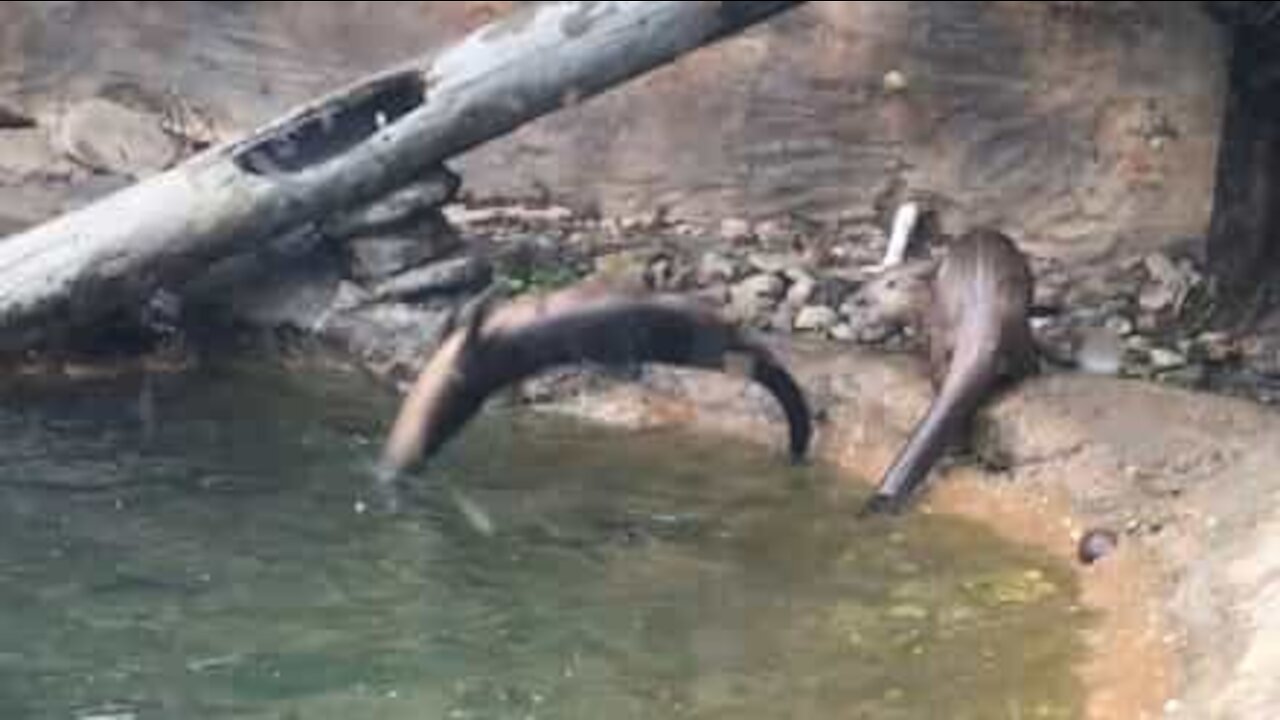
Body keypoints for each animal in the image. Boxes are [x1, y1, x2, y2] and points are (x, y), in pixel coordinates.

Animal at [860, 226, 1039, 512]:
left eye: (865, 302)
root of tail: (981, 307)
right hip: (1017, 315)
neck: (922, 293)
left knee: (938, 371)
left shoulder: (926, 323)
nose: (852, 307)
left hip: (944, 328)